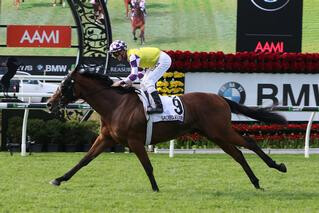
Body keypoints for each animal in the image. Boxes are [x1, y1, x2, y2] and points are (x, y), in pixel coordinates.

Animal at [47, 70, 288, 192]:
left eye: (65, 85)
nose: (50, 103)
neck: (116, 106)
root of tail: (220, 98)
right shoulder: (106, 139)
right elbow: (84, 160)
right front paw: (59, 179)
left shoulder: (135, 141)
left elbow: (147, 166)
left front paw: (155, 188)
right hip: (214, 134)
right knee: (238, 154)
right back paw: (256, 182)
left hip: (221, 131)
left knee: (250, 143)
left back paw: (278, 166)